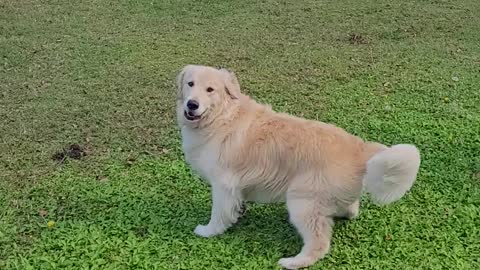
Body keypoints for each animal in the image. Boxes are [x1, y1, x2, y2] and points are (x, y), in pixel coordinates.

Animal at [175, 64, 420, 268]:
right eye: (190, 84)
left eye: (210, 89)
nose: (192, 104)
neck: (222, 116)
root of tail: (359, 148)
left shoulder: (223, 185)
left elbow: (218, 214)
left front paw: (209, 231)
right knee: (351, 209)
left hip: (302, 202)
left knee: (319, 243)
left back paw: (293, 262)